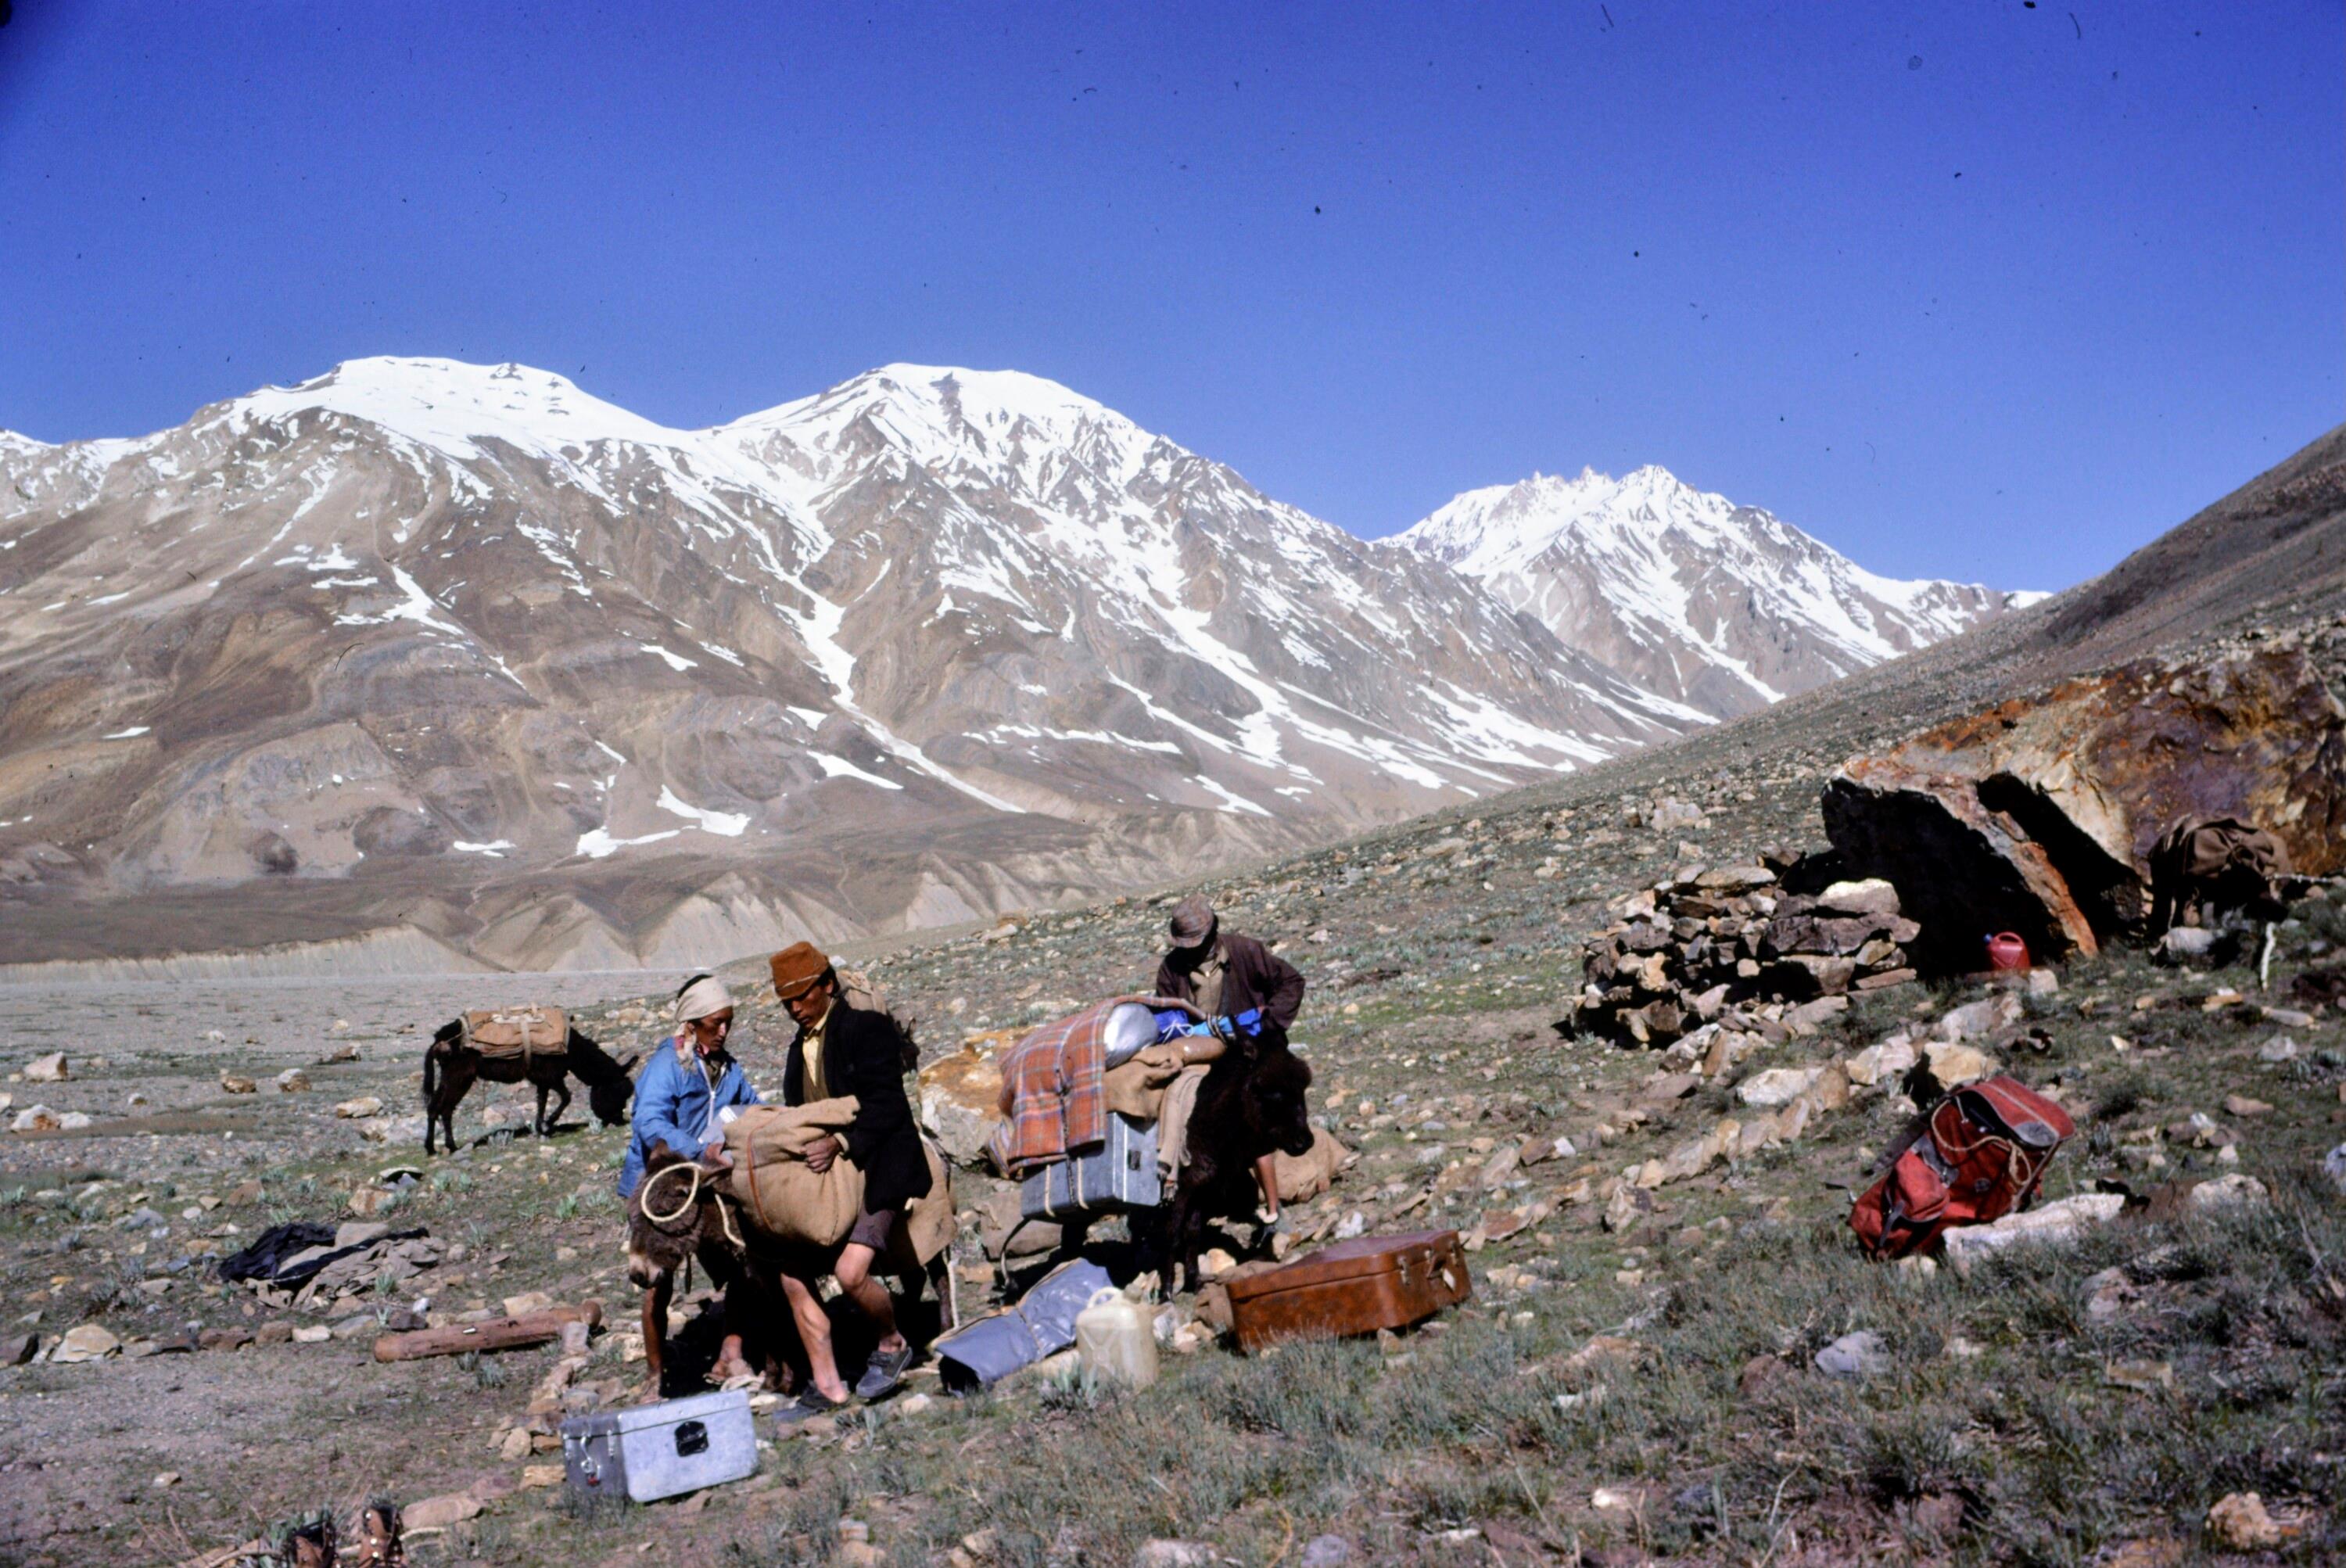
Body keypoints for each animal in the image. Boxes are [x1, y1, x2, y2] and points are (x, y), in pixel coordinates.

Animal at [421, 1020, 638, 1155]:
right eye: (619, 1092)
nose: (619, 1121)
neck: (572, 1050)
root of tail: (438, 1040)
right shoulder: (550, 1075)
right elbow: (566, 1097)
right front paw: (549, 1124)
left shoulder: (542, 1079)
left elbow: (542, 1102)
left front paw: (541, 1128)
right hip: (459, 1076)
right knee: (445, 1108)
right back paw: (450, 1146)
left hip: (452, 1076)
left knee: (435, 1107)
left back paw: (432, 1148)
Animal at [1157, 1021, 1315, 1293]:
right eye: (1269, 1090)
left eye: (1303, 1085)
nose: (1304, 1142)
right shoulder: (1180, 1188)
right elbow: (1173, 1233)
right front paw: (1167, 1290)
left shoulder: (1202, 1187)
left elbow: (1192, 1231)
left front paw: (1194, 1281)